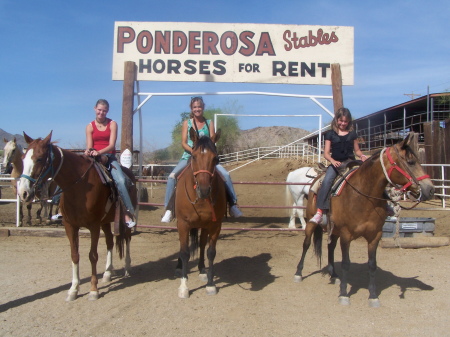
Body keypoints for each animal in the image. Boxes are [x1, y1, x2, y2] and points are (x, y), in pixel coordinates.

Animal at [18, 131, 137, 300]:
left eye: (39, 158)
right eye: (23, 158)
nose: (23, 192)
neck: (80, 186)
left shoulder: (93, 226)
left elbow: (92, 255)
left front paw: (93, 290)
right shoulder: (70, 226)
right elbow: (75, 255)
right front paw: (73, 289)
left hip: (123, 218)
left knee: (127, 238)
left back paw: (127, 267)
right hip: (105, 221)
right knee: (109, 241)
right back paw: (108, 272)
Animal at [174, 127, 227, 298]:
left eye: (215, 158)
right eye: (194, 156)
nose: (204, 190)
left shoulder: (215, 225)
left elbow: (211, 252)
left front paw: (210, 284)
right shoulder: (183, 224)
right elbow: (184, 252)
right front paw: (184, 287)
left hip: (204, 226)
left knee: (202, 245)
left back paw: (202, 269)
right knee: (182, 246)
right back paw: (179, 267)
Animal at [294, 133, 434, 306]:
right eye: (410, 162)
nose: (430, 189)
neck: (363, 196)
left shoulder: (375, 235)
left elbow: (372, 265)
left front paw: (373, 296)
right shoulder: (346, 235)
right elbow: (346, 263)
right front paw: (344, 294)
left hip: (335, 229)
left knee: (330, 247)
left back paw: (334, 275)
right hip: (312, 223)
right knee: (306, 244)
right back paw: (299, 273)